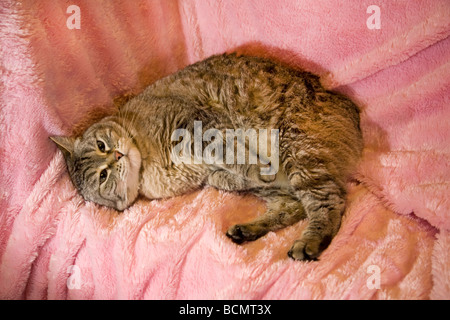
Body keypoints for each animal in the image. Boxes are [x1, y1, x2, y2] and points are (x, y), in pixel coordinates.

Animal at [51, 53, 364, 260]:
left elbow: (233, 155)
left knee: (330, 203)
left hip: (299, 152)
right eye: (103, 176)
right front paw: (236, 176)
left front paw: (254, 168)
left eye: (101, 145)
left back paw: (310, 242)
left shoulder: (196, 126)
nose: (117, 155)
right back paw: (247, 230)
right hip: (291, 174)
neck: (148, 164)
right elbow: (228, 173)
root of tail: (349, 107)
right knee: (293, 207)